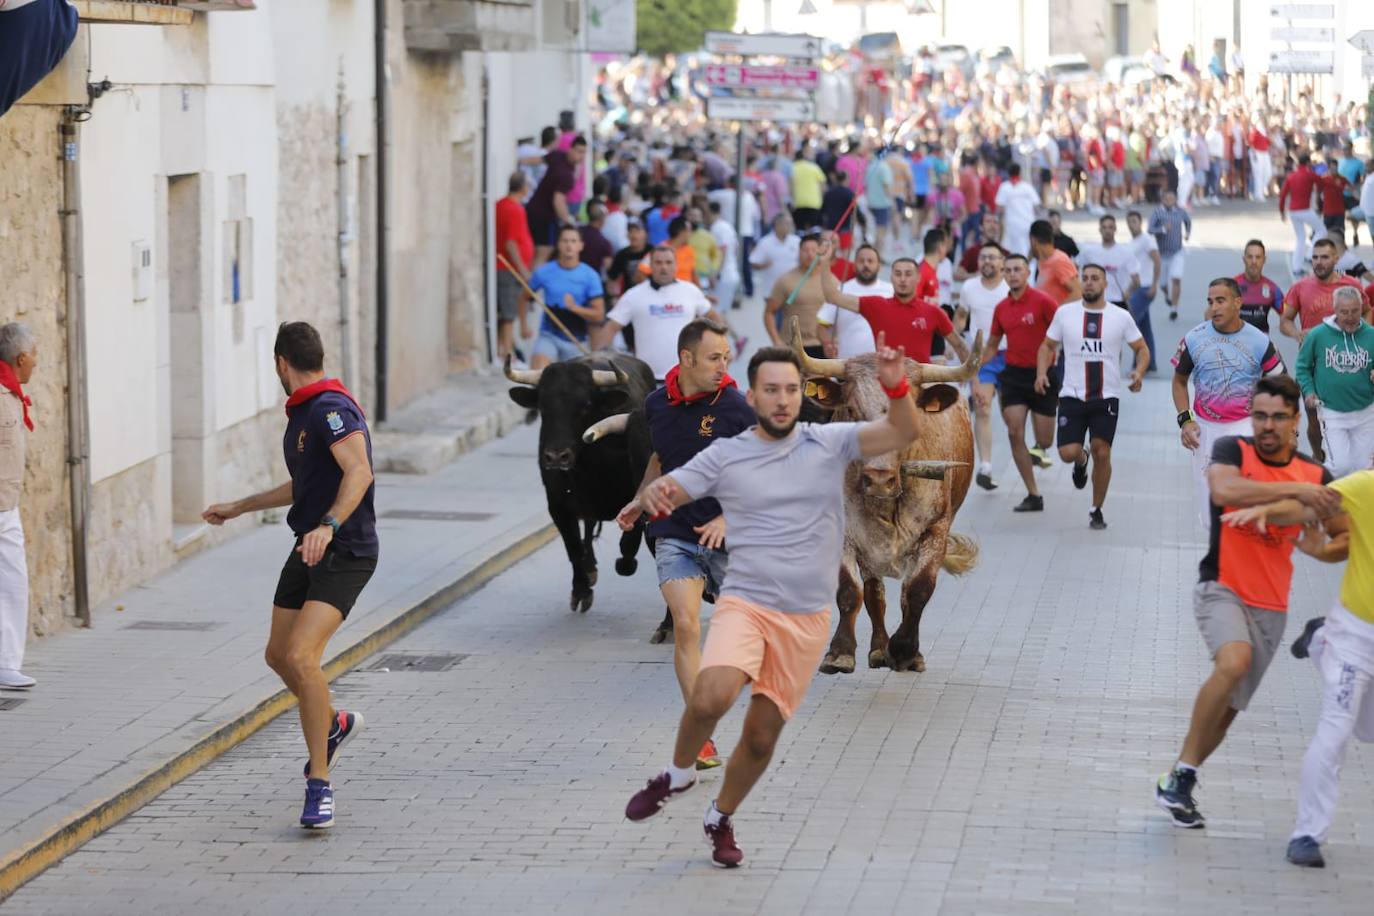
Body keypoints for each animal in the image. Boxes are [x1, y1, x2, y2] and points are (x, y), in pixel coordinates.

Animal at [508, 354, 656, 612]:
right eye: (543, 407)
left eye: (585, 406)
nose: (557, 456)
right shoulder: (558, 506)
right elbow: (574, 547)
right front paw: (581, 589)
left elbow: (631, 538)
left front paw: (625, 563)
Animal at [802, 322, 983, 672]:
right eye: (852, 411)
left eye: (909, 414)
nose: (879, 479)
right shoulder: (846, 530)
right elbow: (850, 591)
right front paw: (840, 652)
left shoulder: (936, 529)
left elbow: (918, 591)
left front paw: (904, 649)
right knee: (875, 591)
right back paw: (877, 648)